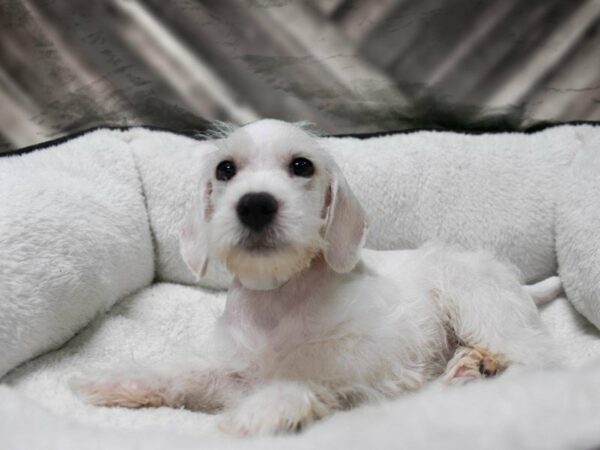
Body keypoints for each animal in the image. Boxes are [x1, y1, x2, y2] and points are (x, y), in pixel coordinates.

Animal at [74, 119, 556, 436]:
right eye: (225, 169)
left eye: (302, 166)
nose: (255, 204)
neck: (278, 295)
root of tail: (518, 287)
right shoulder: (230, 363)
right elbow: (180, 370)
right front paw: (114, 379)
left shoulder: (362, 361)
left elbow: (306, 377)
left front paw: (260, 411)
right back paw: (472, 366)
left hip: (474, 298)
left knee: (534, 357)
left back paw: (487, 373)